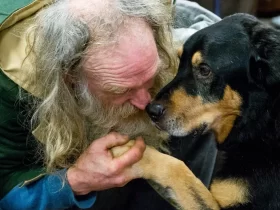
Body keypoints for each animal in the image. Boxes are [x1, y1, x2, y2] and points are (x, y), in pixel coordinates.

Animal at [112, 13, 280, 209]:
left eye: (204, 70)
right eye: (180, 62)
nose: (151, 110)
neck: (260, 120)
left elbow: (177, 168)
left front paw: (136, 151)